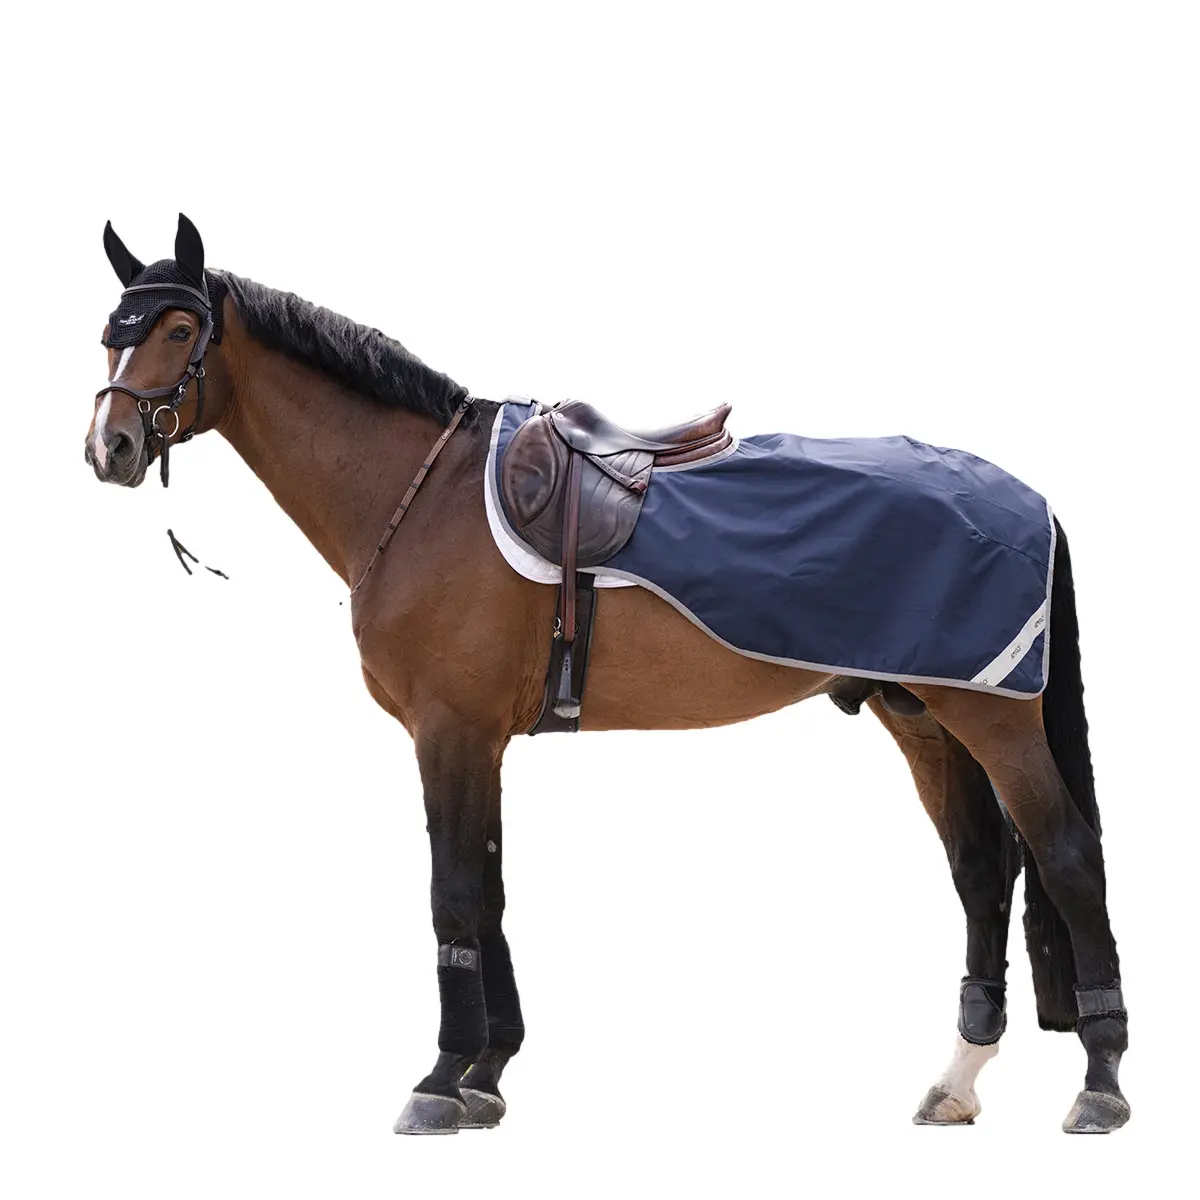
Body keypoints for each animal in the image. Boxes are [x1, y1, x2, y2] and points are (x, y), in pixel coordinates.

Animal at [84, 214, 1129, 1135]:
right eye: (108, 333)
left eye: (178, 329)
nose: (111, 448)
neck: (424, 495)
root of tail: (1027, 498)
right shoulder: (479, 741)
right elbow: (489, 892)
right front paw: (486, 1073)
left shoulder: (449, 731)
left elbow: (452, 894)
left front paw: (439, 1079)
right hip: (921, 716)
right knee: (981, 870)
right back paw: (958, 1079)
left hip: (992, 718)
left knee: (1067, 857)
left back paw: (1103, 1082)